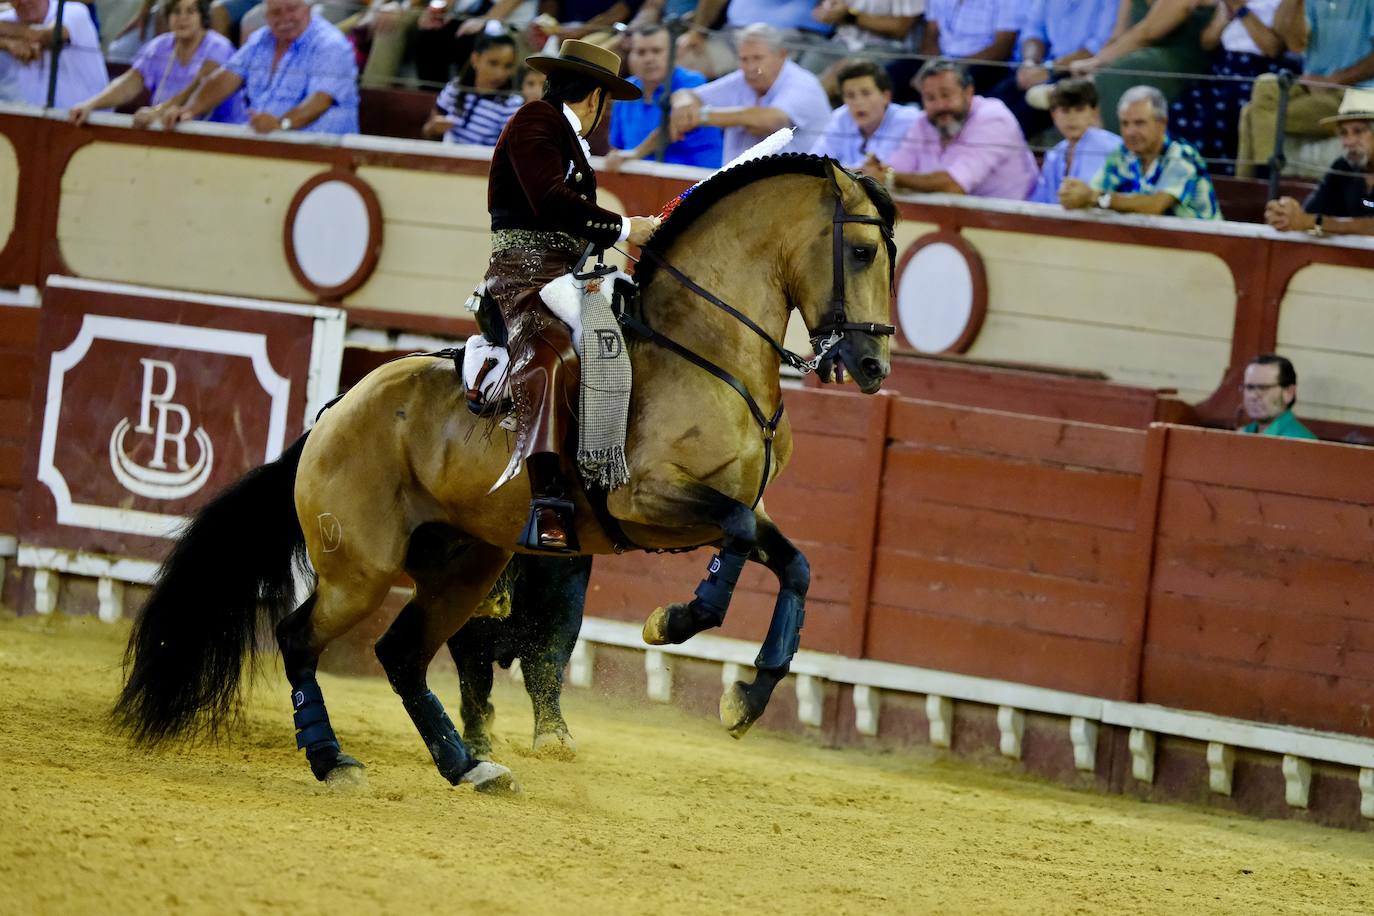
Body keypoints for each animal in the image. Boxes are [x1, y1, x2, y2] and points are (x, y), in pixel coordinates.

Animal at [442, 552, 588, 758]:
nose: (487, 599)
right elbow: (474, 681)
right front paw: (477, 743)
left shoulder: (566, 593)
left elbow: (546, 668)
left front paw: (552, 736)